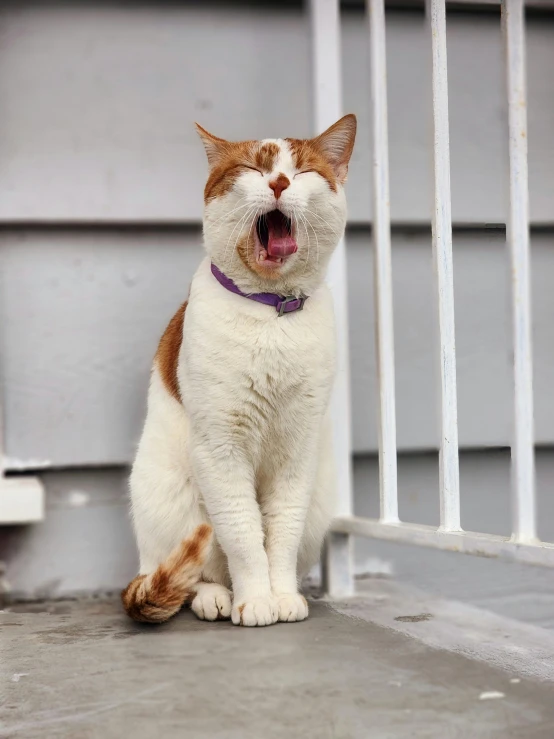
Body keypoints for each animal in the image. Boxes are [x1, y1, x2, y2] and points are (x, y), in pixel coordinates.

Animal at [121, 112, 356, 628]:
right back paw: (215, 597)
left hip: (319, 502)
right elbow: (244, 536)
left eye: (302, 171)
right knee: (190, 571)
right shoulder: (221, 449)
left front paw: (282, 595)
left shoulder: (297, 451)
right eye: (252, 167)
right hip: (167, 492)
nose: (279, 182)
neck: (272, 314)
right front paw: (256, 600)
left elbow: (280, 533)